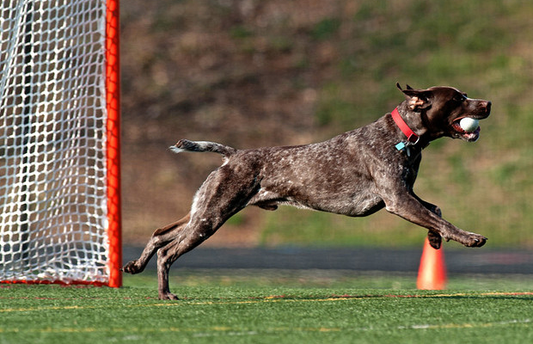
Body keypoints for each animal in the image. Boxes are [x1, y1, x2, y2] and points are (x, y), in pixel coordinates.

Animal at [123, 82, 490, 298]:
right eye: (458, 99)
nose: (487, 103)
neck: (405, 137)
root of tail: (233, 154)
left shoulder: (405, 195)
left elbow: (436, 211)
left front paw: (435, 240)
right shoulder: (398, 200)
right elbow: (442, 218)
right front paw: (470, 237)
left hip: (203, 211)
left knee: (160, 234)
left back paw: (135, 266)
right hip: (211, 217)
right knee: (169, 252)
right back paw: (165, 294)